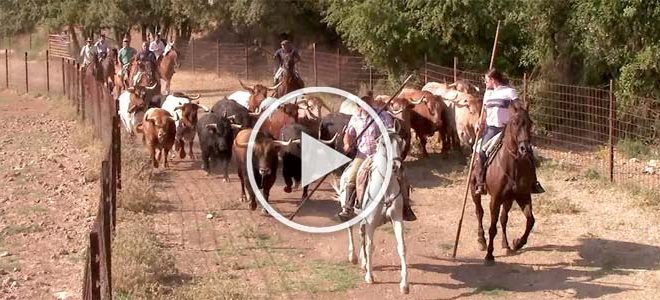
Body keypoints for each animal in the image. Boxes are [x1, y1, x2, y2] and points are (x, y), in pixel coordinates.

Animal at [336, 127, 408, 294]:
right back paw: (353, 257)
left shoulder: (397, 218)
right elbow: (370, 246)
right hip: (349, 210)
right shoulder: (371, 222)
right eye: (384, 143)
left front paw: (404, 285)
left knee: (361, 233)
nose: (396, 167)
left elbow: (401, 247)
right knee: (350, 228)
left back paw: (363, 262)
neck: (385, 189)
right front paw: (369, 276)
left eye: (401, 142)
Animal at [470, 101, 536, 264]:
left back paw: (505, 244)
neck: (513, 165)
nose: (525, 149)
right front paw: (489, 255)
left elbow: (530, 220)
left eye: (530, 123)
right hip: (474, 191)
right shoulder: (495, 199)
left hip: (509, 199)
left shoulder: (523, 196)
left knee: (504, 219)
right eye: (514, 123)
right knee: (479, 212)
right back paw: (481, 240)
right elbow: (492, 228)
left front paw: (517, 243)